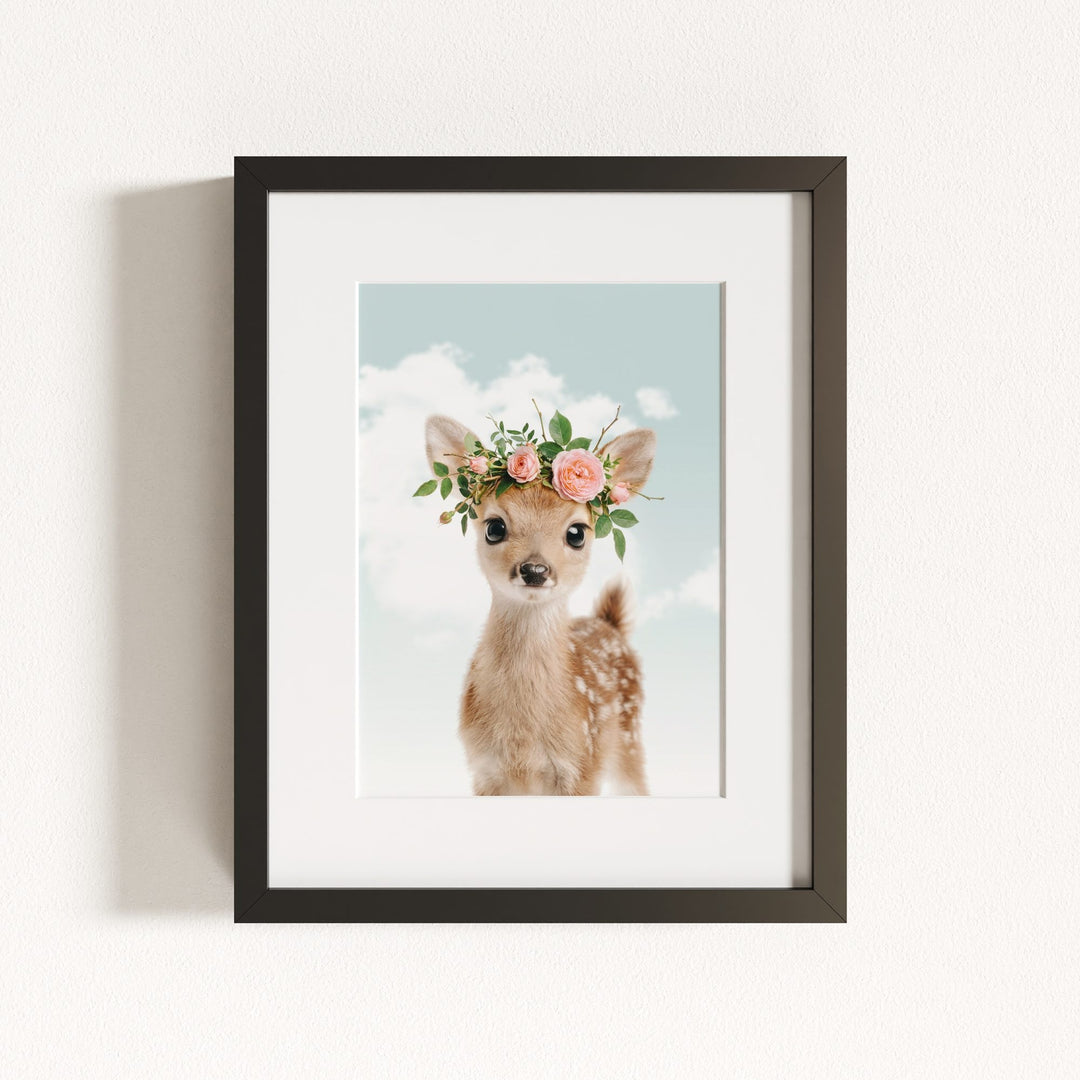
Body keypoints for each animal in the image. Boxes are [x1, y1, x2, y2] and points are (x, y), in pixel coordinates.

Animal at [424, 414, 657, 796]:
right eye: (494, 527)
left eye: (577, 533)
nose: (535, 570)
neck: (523, 739)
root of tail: (609, 623)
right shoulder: (484, 769)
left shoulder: (582, 766)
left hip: (628, 736)